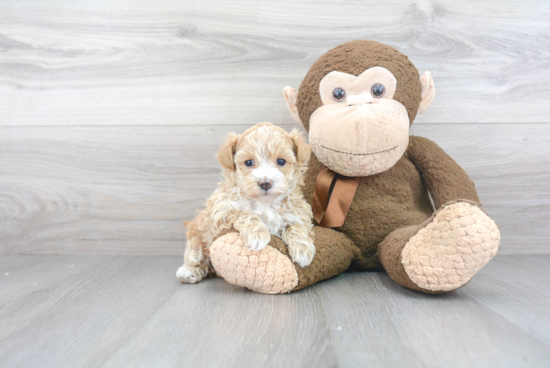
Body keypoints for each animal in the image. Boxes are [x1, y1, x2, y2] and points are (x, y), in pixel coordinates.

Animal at [177, 122, 314, 284]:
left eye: (281, 161)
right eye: (249, 162)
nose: (265, 183)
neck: (265, 202)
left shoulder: (297, 213)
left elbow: (297, 226)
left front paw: (303, 249)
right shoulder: (221, 211)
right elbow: (245, 214)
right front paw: (258, 235)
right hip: (197, 232)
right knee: (195, 254)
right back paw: (188, 271)